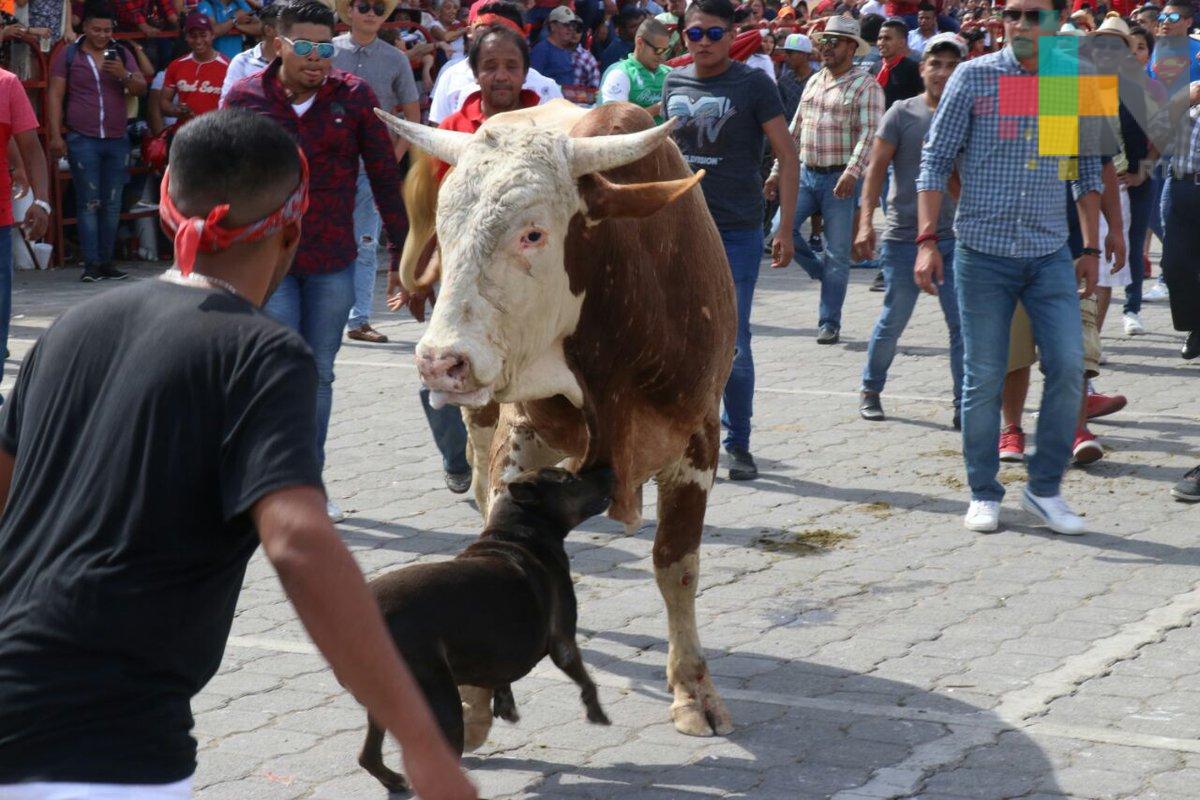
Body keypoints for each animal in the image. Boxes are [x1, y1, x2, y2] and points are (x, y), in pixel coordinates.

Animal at [357, 465, 614, 791]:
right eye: (567, 479)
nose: (608, 469)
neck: (517, 535)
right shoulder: (563, 641)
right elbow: (585, 679)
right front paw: (597, 712)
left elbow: (499, 678)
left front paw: (505, 702)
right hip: (441, 706)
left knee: (368, 756)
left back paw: (392, 780)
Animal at [379, 101, 739, 743]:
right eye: (445, 231)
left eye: (533, 233)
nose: (440, 361)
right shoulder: (521, 434)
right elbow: (496, 533)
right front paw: (474, 704)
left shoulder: (699, 440)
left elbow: (677, 566)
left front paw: (693, 689)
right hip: (481, 411)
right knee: (477, 481)